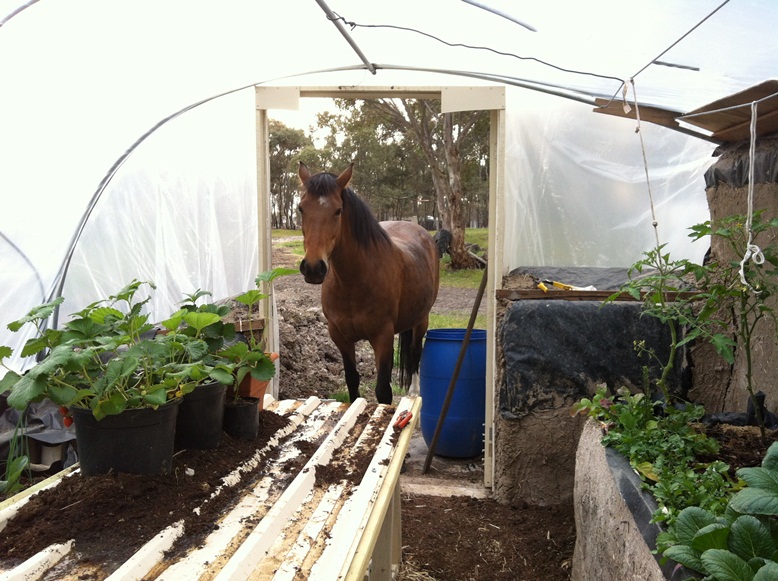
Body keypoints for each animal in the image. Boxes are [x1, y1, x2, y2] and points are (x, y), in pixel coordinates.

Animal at [297, 162, 440, 405]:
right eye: (301, 209)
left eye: (338, 210)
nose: (314, 268)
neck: (353, 283)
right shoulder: (340, 337)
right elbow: (352, 379)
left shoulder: (382, 337)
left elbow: (383, 390)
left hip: (422, 319)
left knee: (414, 354)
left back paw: (413, 393)